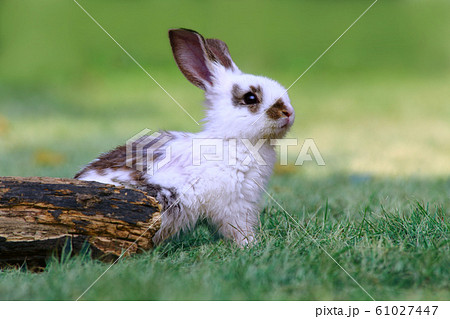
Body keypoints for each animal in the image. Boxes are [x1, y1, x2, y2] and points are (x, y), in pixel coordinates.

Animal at [74, 28, 296, 246]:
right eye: (250, 98)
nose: (289, 112)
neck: (232, 139)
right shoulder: (234, 205)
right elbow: (239, 230)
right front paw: (251, 245)